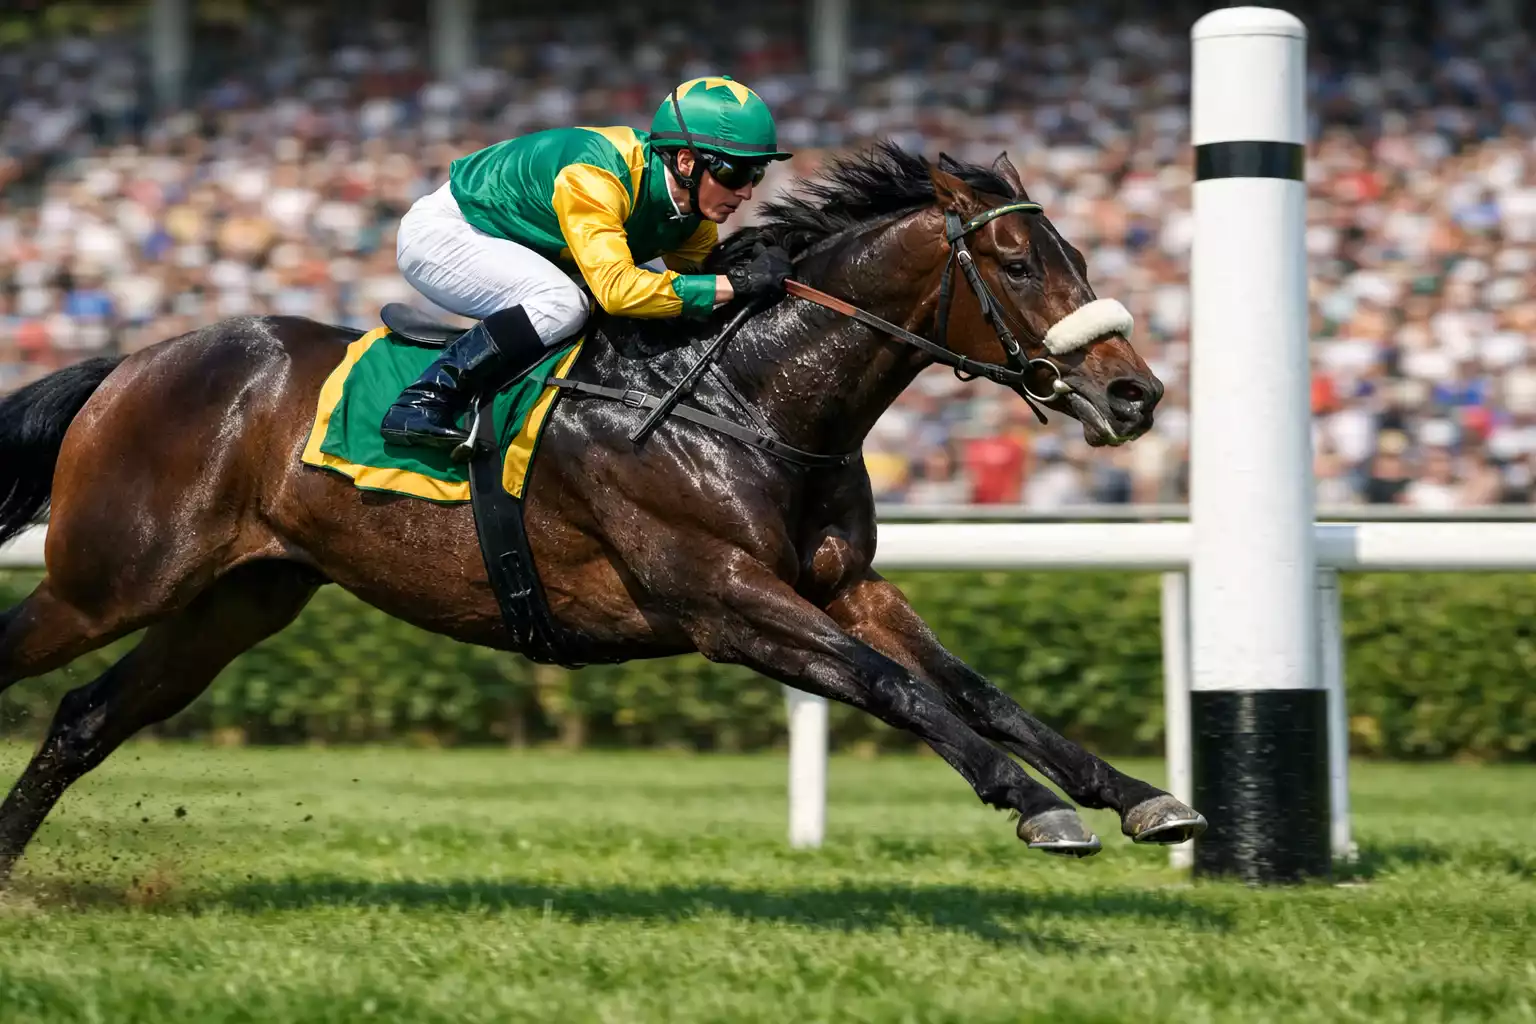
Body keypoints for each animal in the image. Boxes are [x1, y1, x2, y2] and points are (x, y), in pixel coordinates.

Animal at [0, 143, 1203, 882]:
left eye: (1078, 253)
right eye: (1017, 260)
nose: (1136, 395)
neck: (740, 398)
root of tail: (132, 361)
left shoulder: (844, 585)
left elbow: (977, 688)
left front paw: (1140, 795)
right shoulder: (725, 601)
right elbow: (896, 688)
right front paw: (1033, 805)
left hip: (236, 600)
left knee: (85, 718)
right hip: (110, 577)